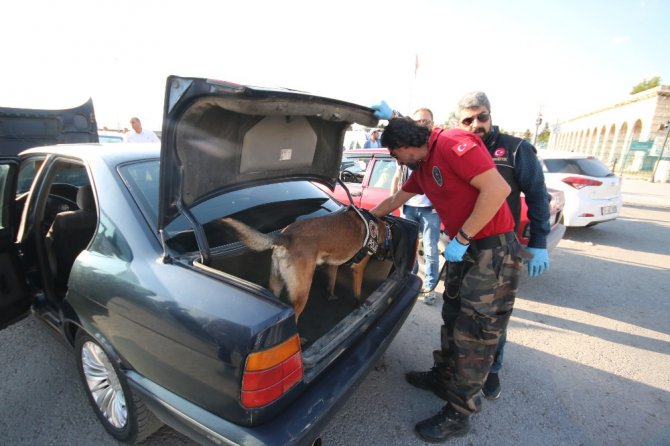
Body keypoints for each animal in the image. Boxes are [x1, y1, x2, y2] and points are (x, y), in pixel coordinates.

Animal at [222, 207, 388, 322]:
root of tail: (286, 236)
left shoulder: (333, 265)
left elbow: (332, 282)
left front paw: (331, 296)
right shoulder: (358, 270)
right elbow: (357, 292)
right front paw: (359, 303)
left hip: (276, 283)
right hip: (302, 292)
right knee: (294, 317)